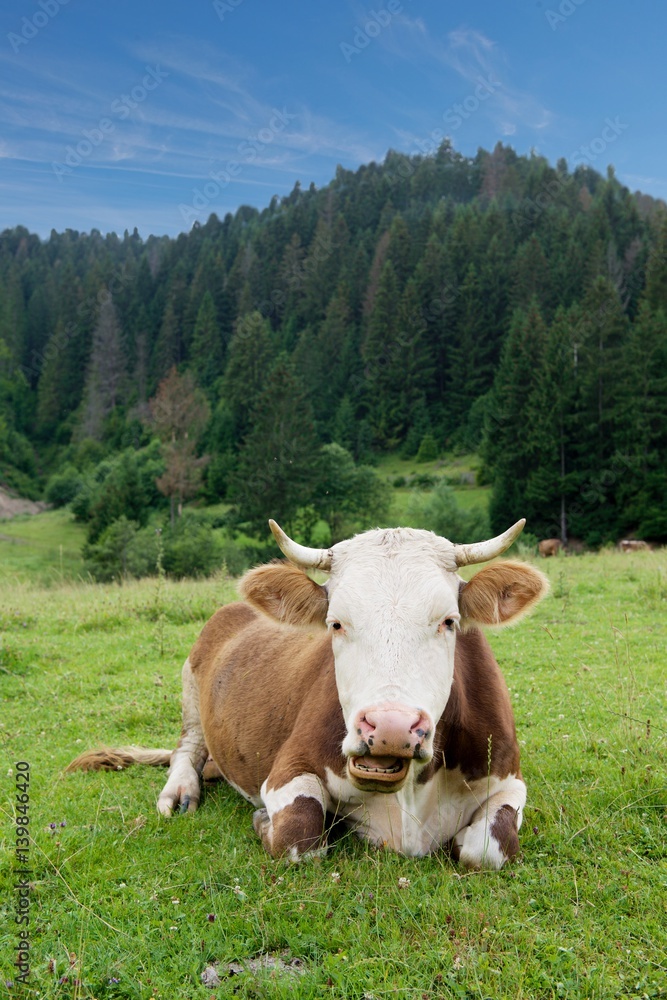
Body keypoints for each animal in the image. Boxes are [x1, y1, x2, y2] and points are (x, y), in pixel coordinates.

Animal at [66, 520, 548, 872]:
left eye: (449, 621)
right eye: (336, 623)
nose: (390, 728)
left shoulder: (509, 778)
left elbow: (488, 849)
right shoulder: (286, 770)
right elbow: (299, 834)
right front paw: (264, 820)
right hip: (190, 688)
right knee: (187, 748)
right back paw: (180, 792)